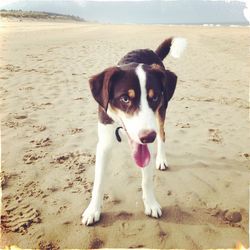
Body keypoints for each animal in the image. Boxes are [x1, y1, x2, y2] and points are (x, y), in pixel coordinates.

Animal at [82, 37, 186, 227]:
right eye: (125, 99)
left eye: (154, 97)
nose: (148, 137)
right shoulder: (104, 144)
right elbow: (99, 182)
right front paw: (93, 210)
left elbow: (147, 180)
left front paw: (151, 203)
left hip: (161, 114)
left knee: (162, 135)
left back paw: (161, 159)